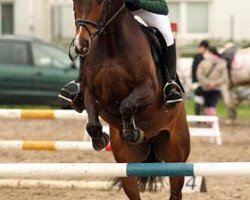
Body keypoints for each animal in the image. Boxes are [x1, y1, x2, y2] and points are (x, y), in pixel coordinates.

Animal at [71, 0, 190, 199]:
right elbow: (92, 123)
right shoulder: (90, 92)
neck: (111, 47)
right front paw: (100, 140)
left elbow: (126, 106)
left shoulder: (148, 89)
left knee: (176, 190)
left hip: (176, 155)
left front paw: (133, 132)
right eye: (75, 4)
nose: (81, 45)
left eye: (100, 3)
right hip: (126, 164)